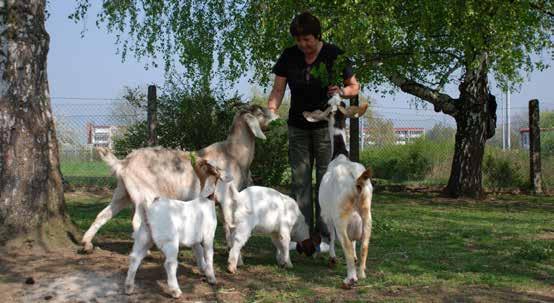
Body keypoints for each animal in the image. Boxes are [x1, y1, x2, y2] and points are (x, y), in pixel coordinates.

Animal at [81, 104, 276, 254]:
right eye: (259, 111)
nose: (276, 113)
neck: (233, 154)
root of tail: (123, 163)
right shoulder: (227, 198)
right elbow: (230, 225)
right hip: (143, 195)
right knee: (136, 221)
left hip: (123, 193)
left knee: (103, 214)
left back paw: (86, 244)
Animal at [124, 160, 230, 298]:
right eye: (218, 168)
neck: (205, 199)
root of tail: (152, 209)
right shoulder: (208, 235)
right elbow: (208, 254)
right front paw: (211, 277)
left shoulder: (193, 238)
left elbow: (199, 251)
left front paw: (203, 270)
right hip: (170, 241)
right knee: (170, 264)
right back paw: (175, 290)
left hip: (144, 236)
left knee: (135, 258)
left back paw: (129, 287)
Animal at [302, 96, 370, 288]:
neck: (340, 155)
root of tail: (356, 179)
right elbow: (355, 242)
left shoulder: (327, 214)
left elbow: (330, 235)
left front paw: (332, 258)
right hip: (366, 214)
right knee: (364, 244)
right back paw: (361, 273)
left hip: (340, 217)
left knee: (345, 243)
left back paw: (350, 279)